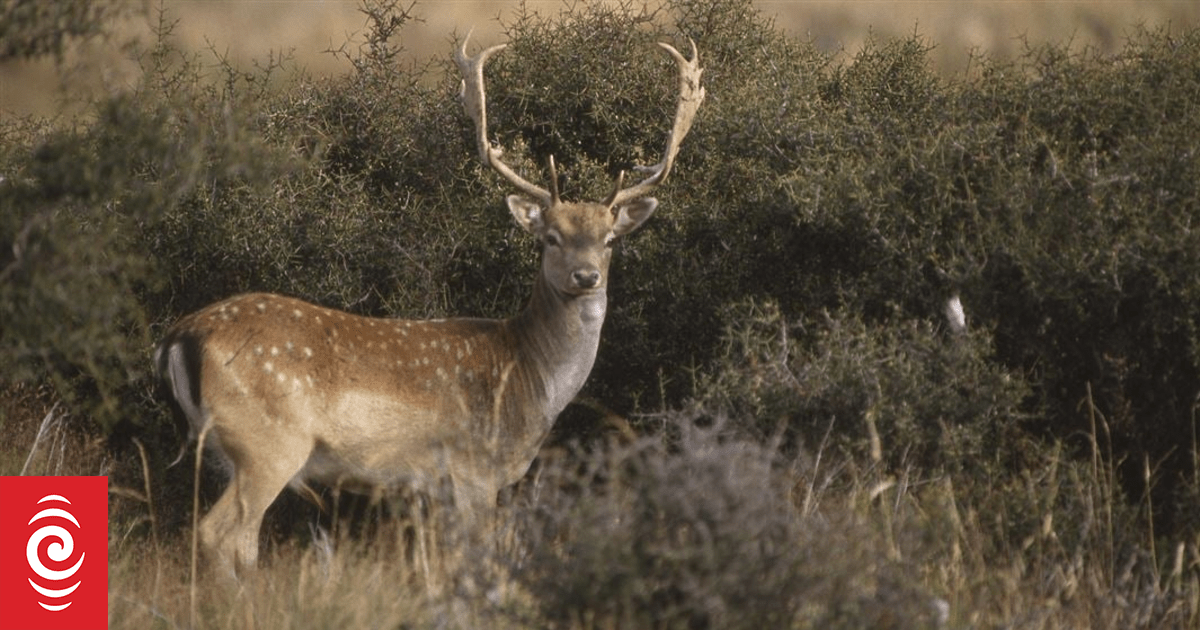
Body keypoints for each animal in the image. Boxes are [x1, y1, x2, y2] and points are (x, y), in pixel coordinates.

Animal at [155, 33, 704, 578]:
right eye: (550, 237)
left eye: (610, 240)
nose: (586, 276)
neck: (529, 378)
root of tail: (180, 336)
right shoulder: (472, 471)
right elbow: (477, 559)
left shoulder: (437, 488)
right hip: (268, 443)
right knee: (221, 533)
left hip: (223, 450)